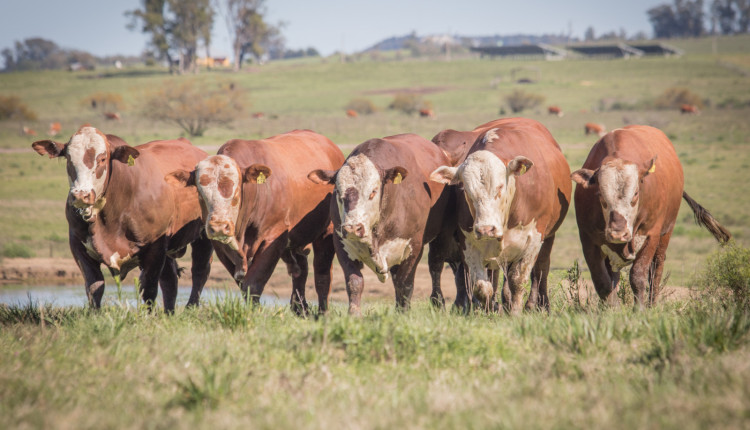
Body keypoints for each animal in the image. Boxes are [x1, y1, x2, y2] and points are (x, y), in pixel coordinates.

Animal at [31, 126, 213, 310]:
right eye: (68, 158)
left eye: (102, 159)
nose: (81, 195)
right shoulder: (78, 245)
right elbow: (94, 287)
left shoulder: (156, 247)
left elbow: (149, 289)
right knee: (170, 280)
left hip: (203, 237)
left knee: (199, 272)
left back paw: (191, 306)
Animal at [169, 129, 346, 314]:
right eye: (200, 192)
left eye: (236, 190)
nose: (218, 227)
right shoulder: (221, 247)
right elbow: (242, 283)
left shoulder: (274, 237)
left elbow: (252, 283)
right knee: (300, 271)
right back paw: (300, 308)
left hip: (326, 232)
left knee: (322, 275)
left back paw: (322, 312)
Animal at [306, 133, 450, 314]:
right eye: (338, 192)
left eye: (373, 192)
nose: (353, 228)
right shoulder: (342, 244)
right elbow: (354, 282)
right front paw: (354, 314)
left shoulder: (413, 247)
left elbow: (405, 284)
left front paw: (403, 313)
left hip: (441, 236)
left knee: (435, 266)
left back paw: (438, 302)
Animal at [432, 117, 572, 312]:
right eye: (466, 189)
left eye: (500, 186)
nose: (486, 229)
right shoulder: (468, 243)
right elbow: (482, 286)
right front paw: (491, 308)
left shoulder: (534, 240)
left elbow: (518, 280)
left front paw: (515, 312)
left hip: (548, 236)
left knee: (541, 270)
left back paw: (538, 305)